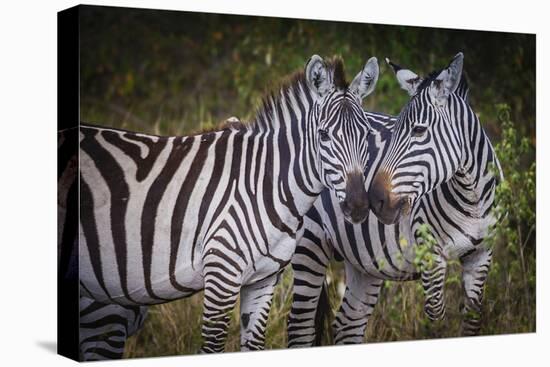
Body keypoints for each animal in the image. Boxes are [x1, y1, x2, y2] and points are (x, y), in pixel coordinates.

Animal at [60, 54, 384, 360]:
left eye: (367, 135)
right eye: (324, 135)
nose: (358, 206)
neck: (265, 184)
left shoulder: (263, 280)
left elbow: (253, 345)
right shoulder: (221, 275)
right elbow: (213, 346)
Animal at [288, 52, 504, 348]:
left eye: (419, 131)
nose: (374, 199)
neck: (472, 199)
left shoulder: (482, 254)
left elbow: (472, 321)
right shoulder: (430, 254)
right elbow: (436, 318)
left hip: (363, 261)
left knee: (348, 323)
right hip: (310, 243)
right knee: (300, 326)